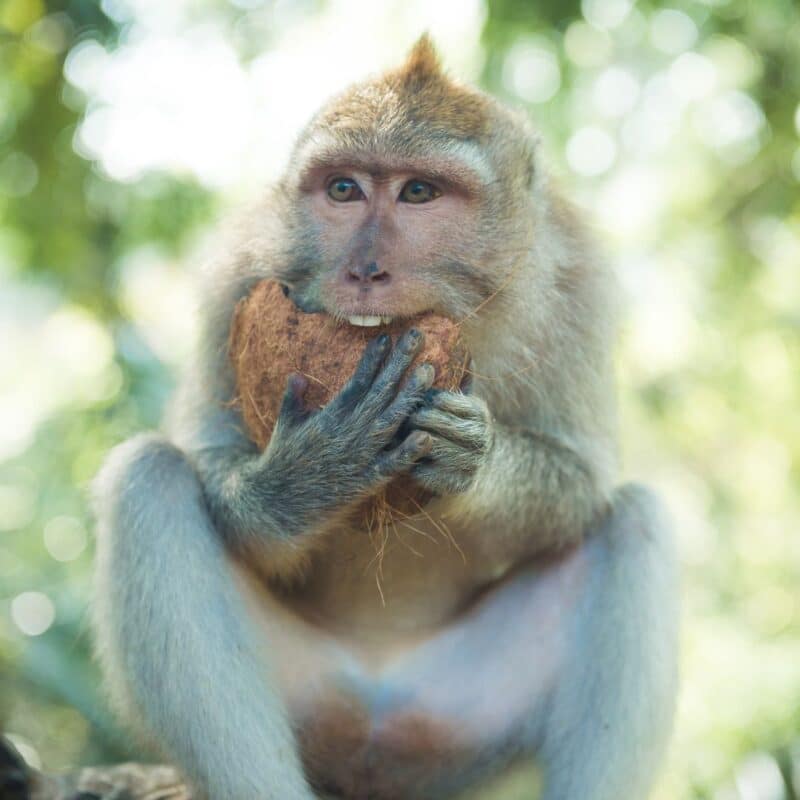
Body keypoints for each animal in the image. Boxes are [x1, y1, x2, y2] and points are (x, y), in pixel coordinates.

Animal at [91, 36, 678, 800]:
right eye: (344, 189)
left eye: (419, 192)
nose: (364, 269)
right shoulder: (236, 276)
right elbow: (211, 458)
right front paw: (305, 479)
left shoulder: (580, 284)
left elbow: (578, 482)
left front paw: (466, 457)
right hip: (316, 700)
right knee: (147, 479)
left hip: (460, 716)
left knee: (637, 522)